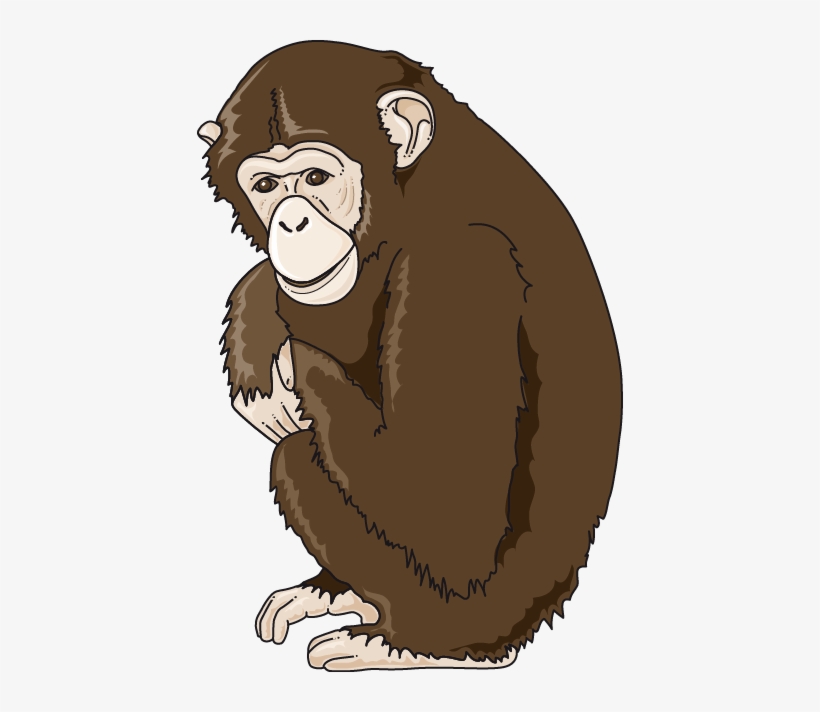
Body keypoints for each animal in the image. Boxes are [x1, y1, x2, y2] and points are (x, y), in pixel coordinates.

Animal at [196, 41, 622, 670]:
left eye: (315, 177)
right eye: (268, 185)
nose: (291, 223)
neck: (415, 192)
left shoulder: (459, 264)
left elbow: (434, 495)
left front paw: (271, 341)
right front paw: (255, 314)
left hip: (472, 608)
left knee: (296, 454)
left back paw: (403, 643)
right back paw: (333, 594)